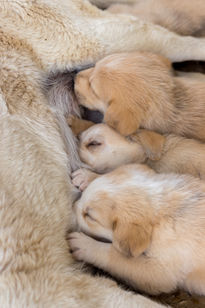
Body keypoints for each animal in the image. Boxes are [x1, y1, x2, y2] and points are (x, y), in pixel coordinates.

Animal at [68, 165, 205, 294]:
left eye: (89, 216)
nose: (71, 206)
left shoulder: (162, 271)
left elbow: (116, 256)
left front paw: (84, 245)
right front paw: (88, 176)